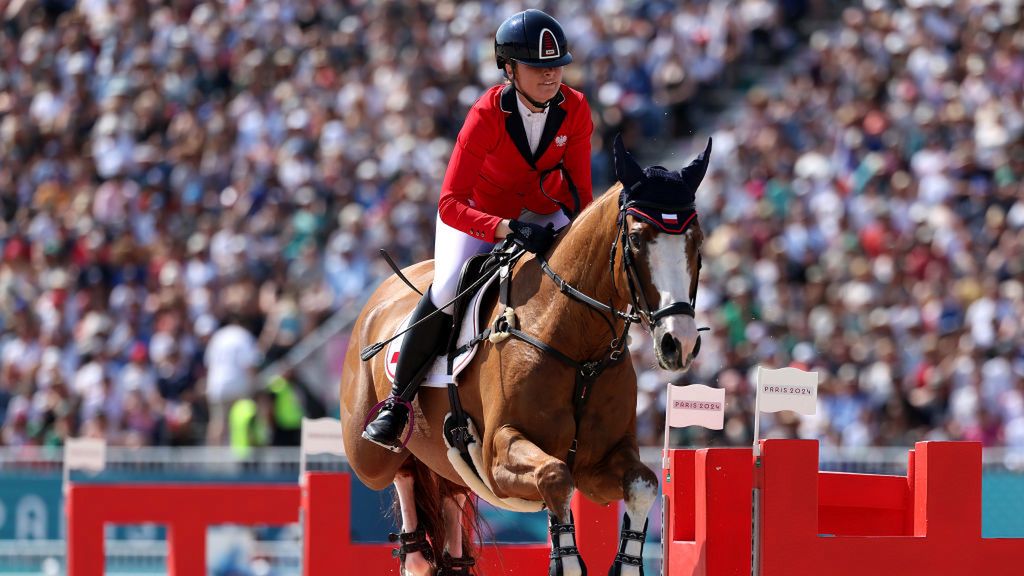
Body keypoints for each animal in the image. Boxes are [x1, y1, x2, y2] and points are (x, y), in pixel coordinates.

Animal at [339, 135, 708, 573]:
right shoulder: (501, 453)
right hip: (367, 456)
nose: (678, 343)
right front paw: (566, 560)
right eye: (635, 239)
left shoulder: (599, 465)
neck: (578, 346)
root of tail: (378, 299)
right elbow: (555, 477)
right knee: (401, 470)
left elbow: (643, 483)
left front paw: (627, 564)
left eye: (697, 240)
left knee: (450, 490)